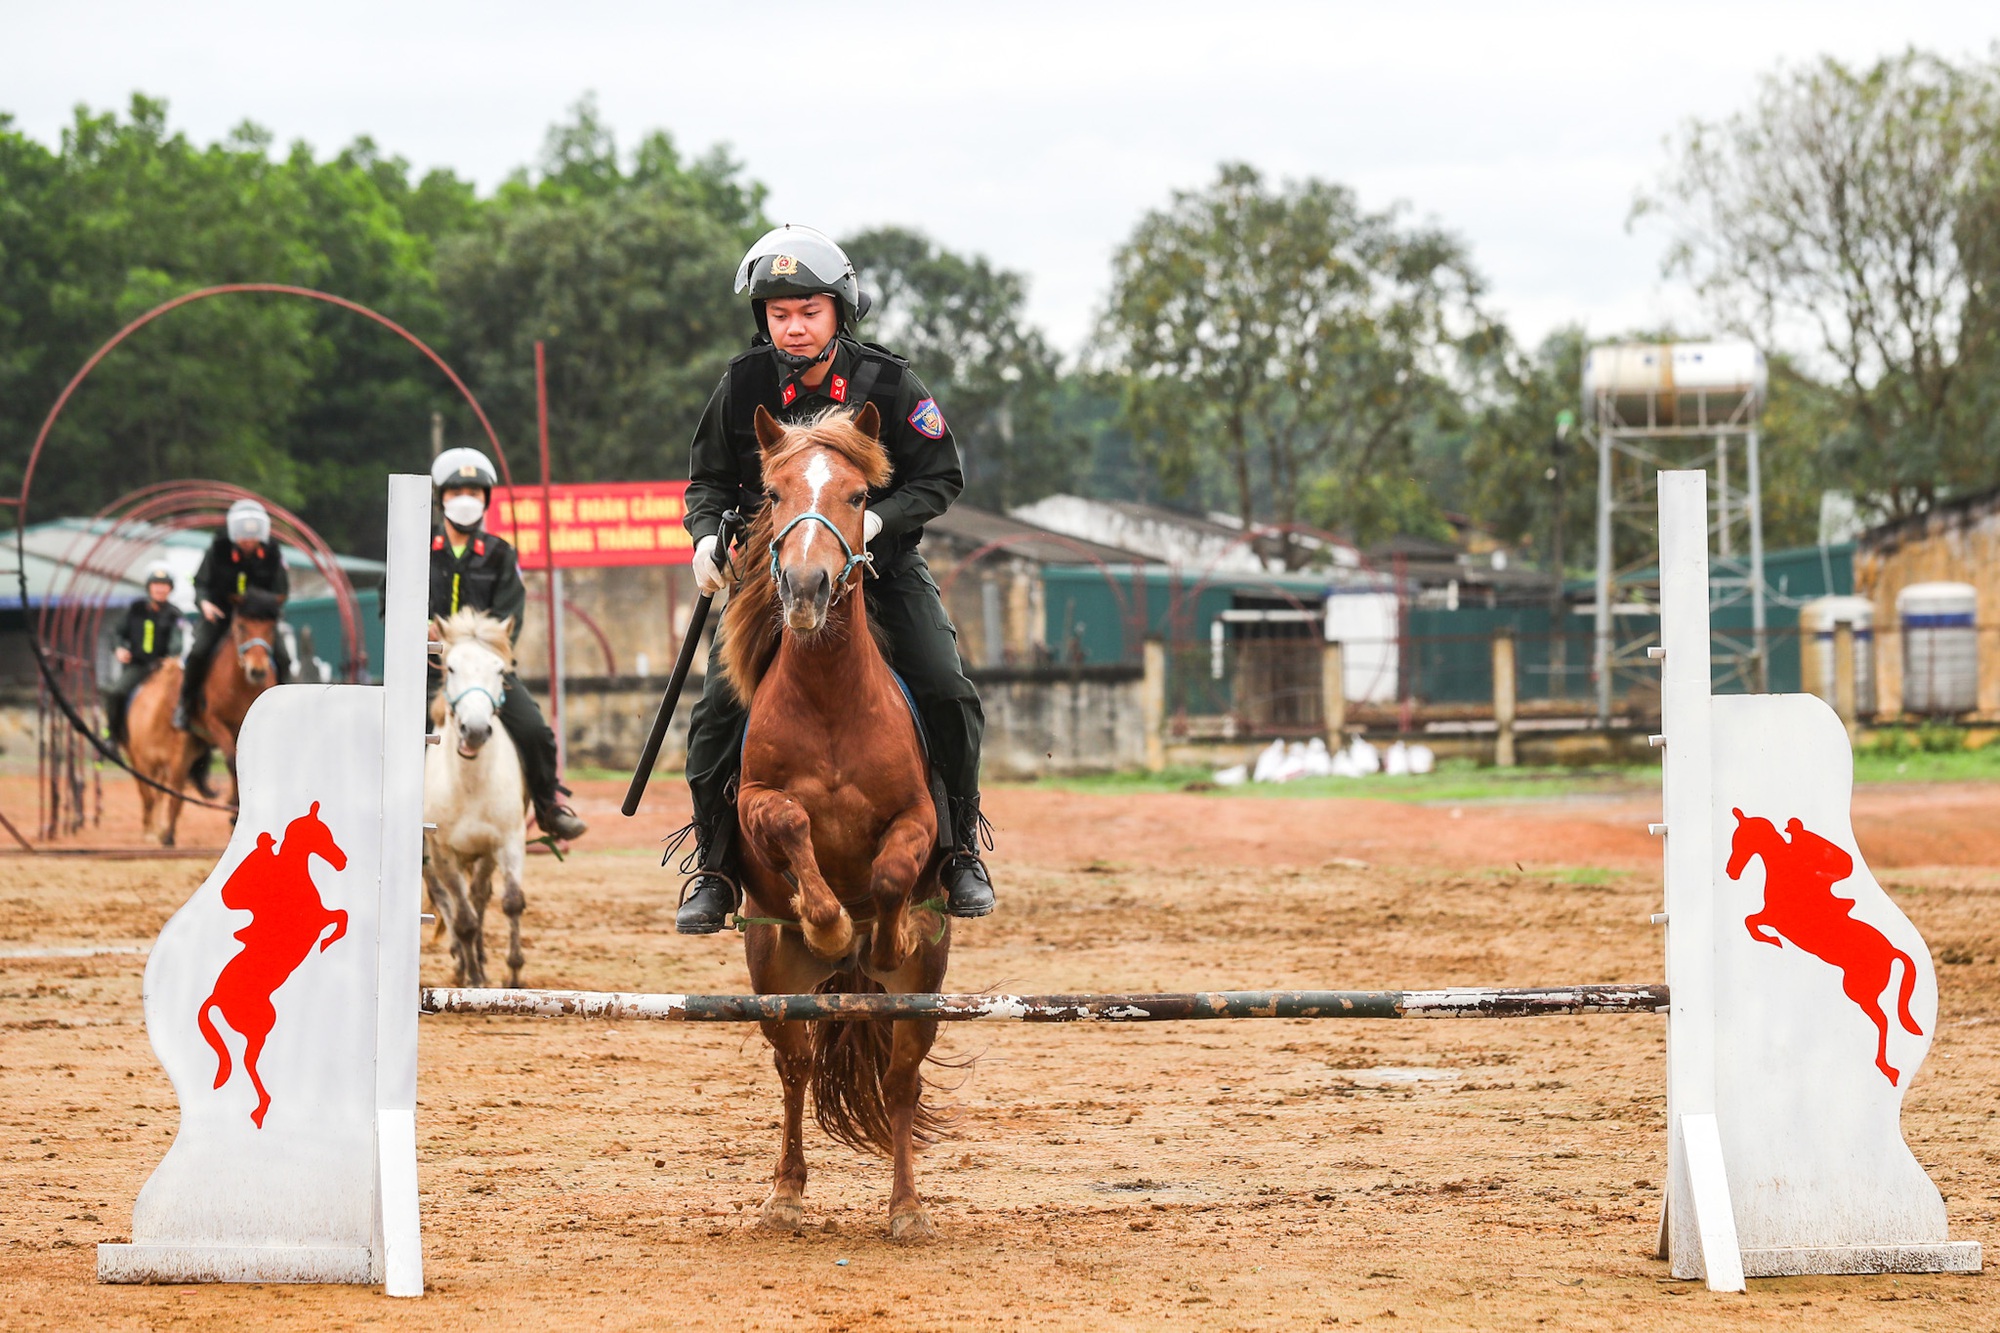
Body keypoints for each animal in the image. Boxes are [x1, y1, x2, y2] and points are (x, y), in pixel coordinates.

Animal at [124, 584, 286, 840]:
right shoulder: (215, 723)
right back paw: (166, 833)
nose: (257, 671)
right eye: (241, 626)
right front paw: (234, 809)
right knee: (171, 791)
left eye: (271, 627)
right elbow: (231, 759)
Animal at [426, 608, 528, 980]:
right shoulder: (443, 853)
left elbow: (511, 902)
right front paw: (474, 979)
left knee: (480, 895)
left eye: (499, 669)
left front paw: (514, 976)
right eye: (451, 667)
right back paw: (462, 963)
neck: (470, 784)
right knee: (447, 901)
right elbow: (463, 919)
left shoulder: (507, 841)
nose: (475, 730)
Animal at [724, 396, 956, 1232]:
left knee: (901, 1080)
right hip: (772, 979)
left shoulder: (918, 817)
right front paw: (826, 920)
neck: (830, 696)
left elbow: (889, 873)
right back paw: (785, 1194)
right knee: (792, 1065)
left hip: (922, 995)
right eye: (775, 493)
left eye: (859, 497)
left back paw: (908, 1206)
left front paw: (881, 931)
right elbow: (792, 825)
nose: (804, 587)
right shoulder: (754, 801)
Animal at [1720, 804, 1920, 1088]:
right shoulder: (1770, 916)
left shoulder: (1774, 917)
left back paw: (1887, 1069)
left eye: (1742, 840)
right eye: (1734, 840)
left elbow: (1751, 921)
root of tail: (1892, 951)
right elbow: (1751, 921)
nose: (1731, 872)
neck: (1787, 873)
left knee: (1883, 1021)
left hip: (1859, 991)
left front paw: (1774, 941)